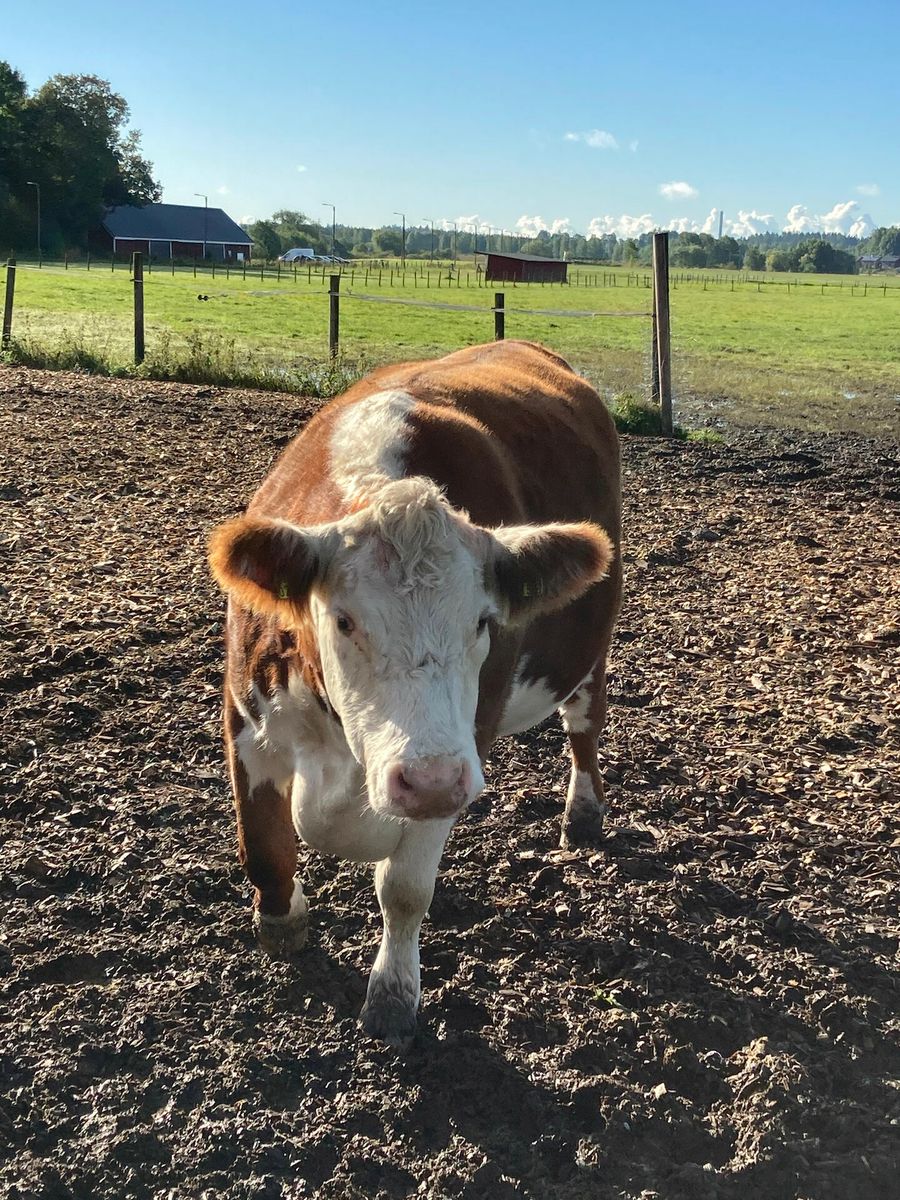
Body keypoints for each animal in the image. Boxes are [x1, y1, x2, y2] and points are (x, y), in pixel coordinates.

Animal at [208, 340, 621, 1044]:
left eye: (482, 622)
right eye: (344, 620)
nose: (426, 779)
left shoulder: (456, 760)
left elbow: (403, 888)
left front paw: (393, 995)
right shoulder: (248, 719)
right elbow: (266, 848)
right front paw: (282, 923)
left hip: (590, 653)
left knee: (583, 727)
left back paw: (583, 811)